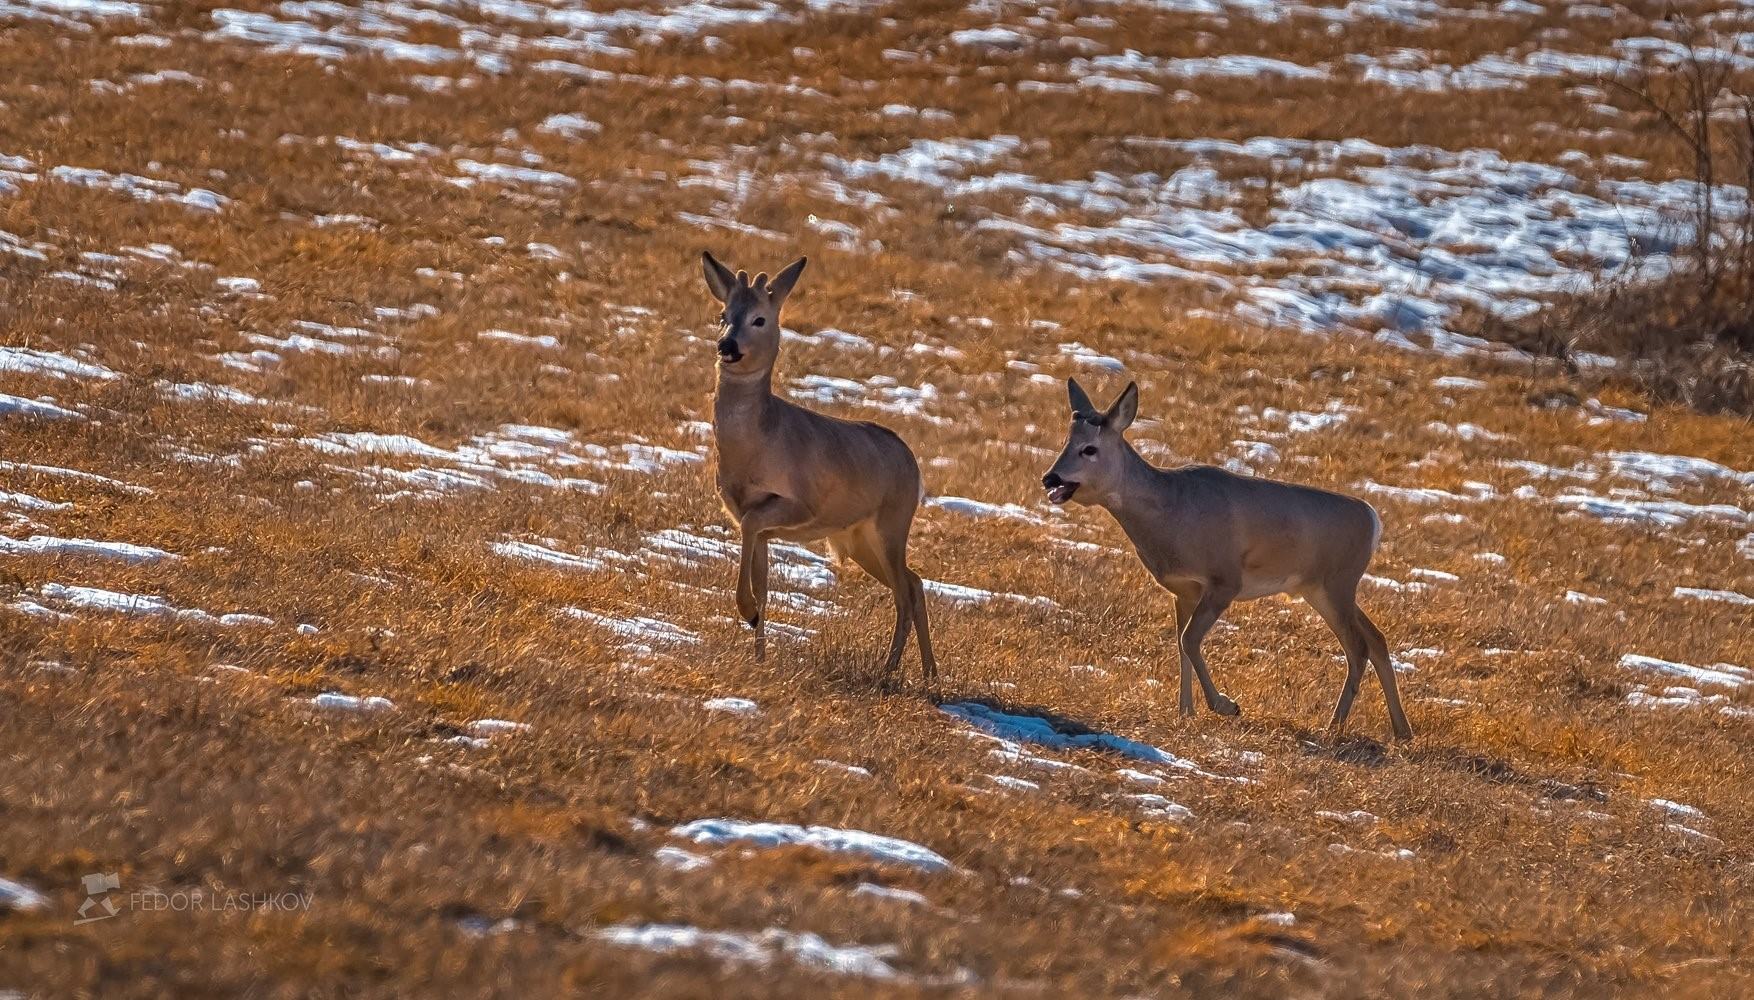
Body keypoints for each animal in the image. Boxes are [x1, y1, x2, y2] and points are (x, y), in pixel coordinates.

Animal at [701, 250, 940, 684]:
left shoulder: (802, 503)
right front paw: (759, 654)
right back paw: (928, 672)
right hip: (858, 538)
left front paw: (747, 613)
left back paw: (889, 671)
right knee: (914, 582)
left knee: (904, 590)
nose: (727, 345)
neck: (758, 443)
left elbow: (753, 538)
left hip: (890, 524)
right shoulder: (754, 522)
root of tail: (913, 465)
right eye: (723, 314)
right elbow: (763, 583)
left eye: (760, 319)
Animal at [1038, 377, 1410, 736]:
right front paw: (1185, 712)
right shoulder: (1183, 589)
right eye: (1066, 442)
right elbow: (1181, 643)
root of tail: (1372, 519)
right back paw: (1401, 729)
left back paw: (1334, 725)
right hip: (1323, 587)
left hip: (1336, 583)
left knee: (1358, 646)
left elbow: (1189, 640)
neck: (1173, 511)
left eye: (1089, 449)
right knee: (1376, 638)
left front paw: (1225, 705)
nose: (1050, 478)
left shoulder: (1225, 580)